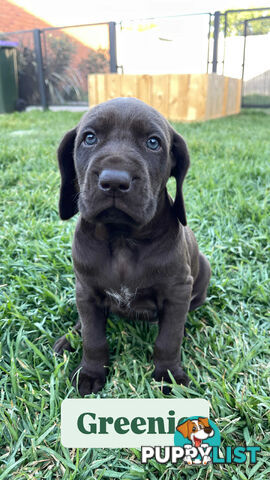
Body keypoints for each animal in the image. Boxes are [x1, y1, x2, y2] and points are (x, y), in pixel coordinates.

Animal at [53, 95, 212, 396]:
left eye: (153, 142)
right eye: (89, 138)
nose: (115, 180)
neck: (122, 239)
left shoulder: (177, 290)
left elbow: (168, 339)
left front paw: (169, 376)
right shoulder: (86, 289)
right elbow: (93, 337)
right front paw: (90, 372)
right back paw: (70, 338)